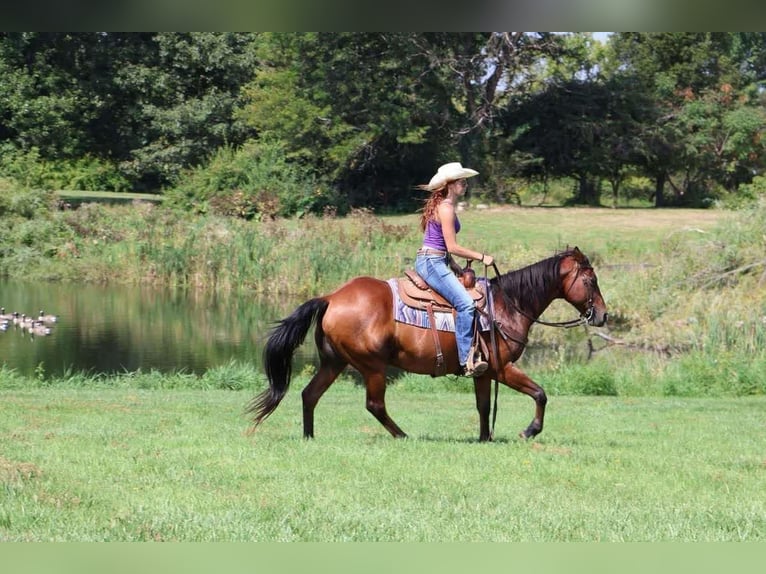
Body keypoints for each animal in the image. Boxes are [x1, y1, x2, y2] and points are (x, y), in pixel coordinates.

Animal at [247, 247, 607, 441]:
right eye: (591, 280)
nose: (602, 315)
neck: (507, 305)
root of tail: (331, 297)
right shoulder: (503, 368)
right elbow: (540, 393)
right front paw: (529, 431)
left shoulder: (483, 372)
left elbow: (483, 406)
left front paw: (485, 438)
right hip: (372, 365)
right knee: (374, 405)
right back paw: (403, 435)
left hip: (334, 362)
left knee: (310, 395)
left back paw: (309, 436)